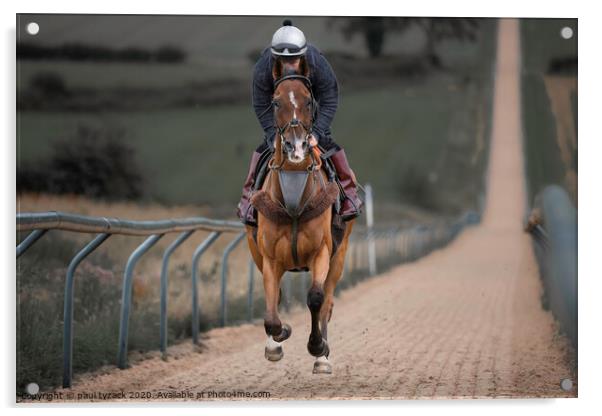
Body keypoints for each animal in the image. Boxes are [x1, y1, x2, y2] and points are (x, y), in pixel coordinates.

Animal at [246, 57, 354, 374]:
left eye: (308, 100)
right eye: (276, 101)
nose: (296, 147)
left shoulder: (322, 251)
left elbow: (316, 298)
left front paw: (318, 347)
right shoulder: (269, 257)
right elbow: (272, 309)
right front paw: (278, 339)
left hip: (340, 254)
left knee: (327, 300)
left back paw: (323, 358)